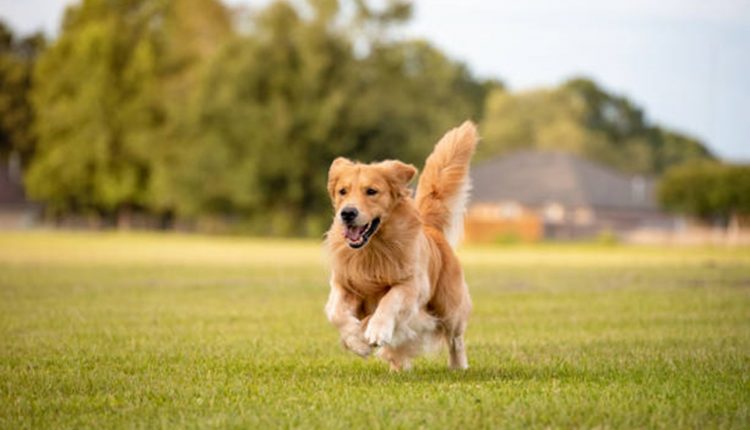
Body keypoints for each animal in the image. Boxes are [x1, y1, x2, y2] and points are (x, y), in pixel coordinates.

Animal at [324, 120, 478, 370]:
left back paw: (458, 366)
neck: (372, 249)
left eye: (371, 191)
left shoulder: (412, 284)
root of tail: (432, 229)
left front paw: (376, 330)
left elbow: (390, 299)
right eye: (342, 191)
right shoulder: (343, 284)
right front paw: (357, 341)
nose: (347, 213)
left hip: (449, 306)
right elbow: (336, 313)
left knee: (456, 338)